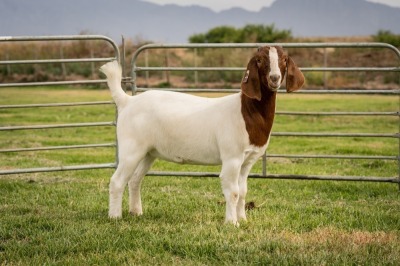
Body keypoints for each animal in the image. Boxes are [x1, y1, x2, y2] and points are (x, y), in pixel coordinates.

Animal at [100, 45, 304, 224]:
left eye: (284, 59)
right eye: (260, 60)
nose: (274, 78)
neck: (246, 111)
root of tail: (127, 101)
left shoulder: (247, 161)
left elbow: (243, 191)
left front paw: (243, 220)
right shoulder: (232, 157)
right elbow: (233, 191)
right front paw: (232, 223)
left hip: (149, 152)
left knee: (134, 180)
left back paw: (136, 212)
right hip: (131, 148)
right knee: (117, 181)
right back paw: (115, 217)